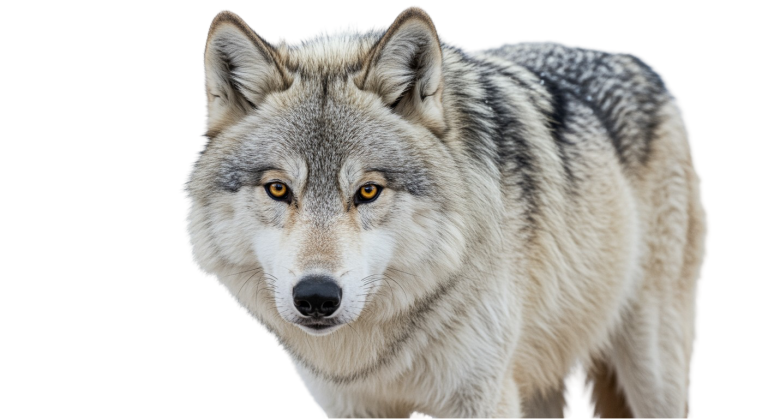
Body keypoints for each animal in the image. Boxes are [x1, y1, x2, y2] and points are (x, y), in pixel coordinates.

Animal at [181, 5, 708, 418]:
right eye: (278, 189)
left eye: (368, 191)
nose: (316, 296)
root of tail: (640, 63)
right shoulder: (354, 406)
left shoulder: (483, 397)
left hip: (652, 370)